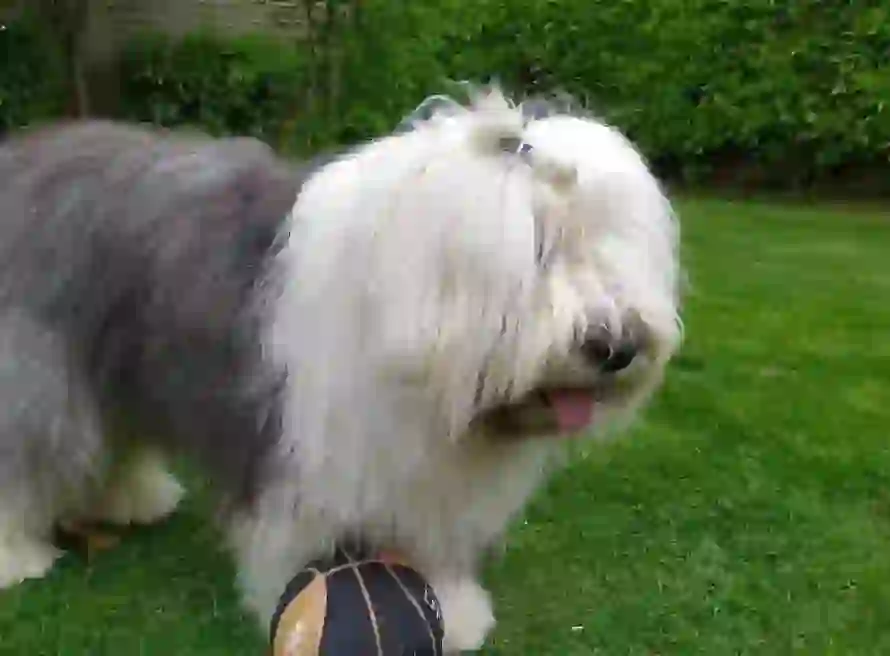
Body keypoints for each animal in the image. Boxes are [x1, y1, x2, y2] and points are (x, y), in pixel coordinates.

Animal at [0, 88, 680, 652]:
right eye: (539, 247)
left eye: (608, 243)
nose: (619, 346)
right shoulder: (305, 450)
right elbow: (298, 537)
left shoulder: (426, 473)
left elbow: (431, 542)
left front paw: (455, 614)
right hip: (41, 376)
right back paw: (17, 558)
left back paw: (133, 500)